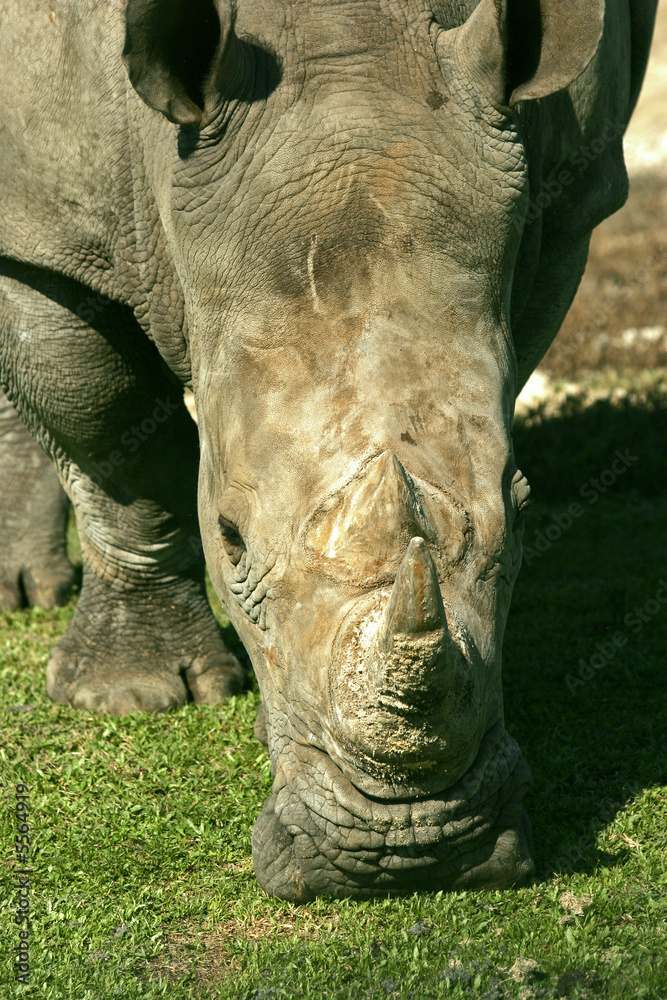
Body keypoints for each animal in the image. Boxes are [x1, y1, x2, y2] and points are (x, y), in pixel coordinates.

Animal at [0, 0, 656, 900]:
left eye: (523, 515)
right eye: (230, 538)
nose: (406, 853)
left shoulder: (564, 199)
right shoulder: (46, 221)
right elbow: (102, 424)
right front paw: (131, 697)